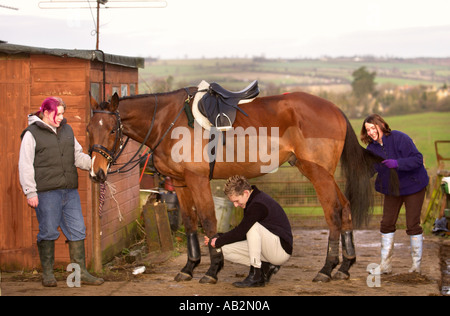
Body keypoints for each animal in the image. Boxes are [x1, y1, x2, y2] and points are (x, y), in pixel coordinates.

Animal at [86, 87, 396, 284]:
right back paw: (345, 265)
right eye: (89, 129)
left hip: (317, 174)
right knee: (345, 207)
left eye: (112, 130)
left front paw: (212, 269)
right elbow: (189, 223)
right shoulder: (181, 183)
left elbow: (208, 222)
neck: (169, 122)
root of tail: (334, 108)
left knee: (333, 212)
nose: (97, 173)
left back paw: (327, 269)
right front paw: (189, 267)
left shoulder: (198, 181)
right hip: (323, 175)